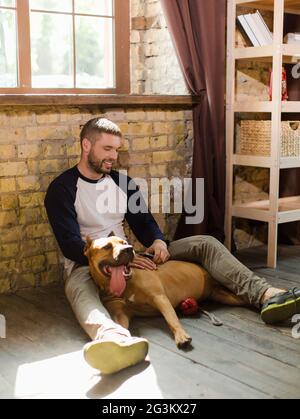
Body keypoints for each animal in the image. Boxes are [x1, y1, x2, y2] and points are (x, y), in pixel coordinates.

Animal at [83, 233, 245, 348]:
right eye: (106, 247)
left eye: (124, 242)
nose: (129, 249)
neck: (127, 284)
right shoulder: (120, 313)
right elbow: (119, 326)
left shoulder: (159, 298)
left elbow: (171, 319)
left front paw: (181, 336)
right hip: (223, 296)